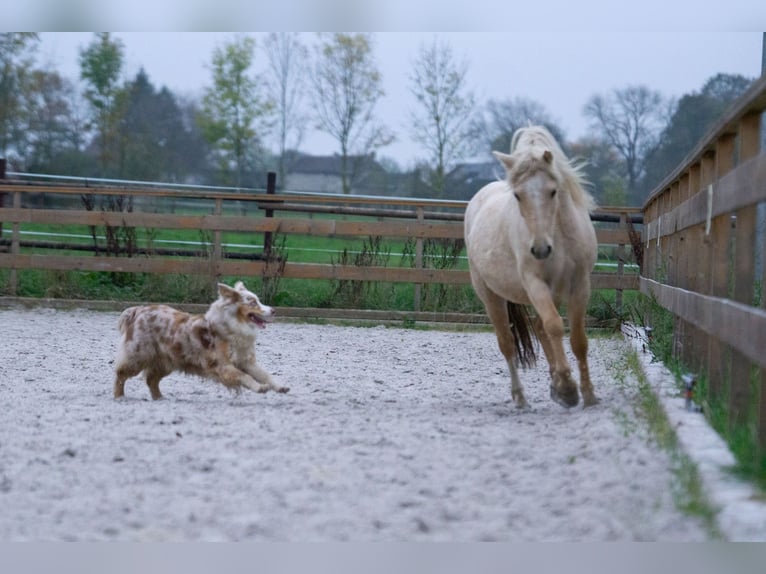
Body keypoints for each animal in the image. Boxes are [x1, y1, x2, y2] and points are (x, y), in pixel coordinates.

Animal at [110, 282, 284, 400]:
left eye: (258, 300)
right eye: (252, 302)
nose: (274, 310)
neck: (234, 327)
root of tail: (138, 310)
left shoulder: (247, 362)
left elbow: (266, 375)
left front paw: (280, 387)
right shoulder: (223, 366)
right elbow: (244, 376)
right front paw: (259, 387)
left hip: (166, 361)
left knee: (151, 380)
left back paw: (160, 398)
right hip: (138, 356)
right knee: (121, 374)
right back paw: (120, 397)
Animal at [464, 126, 604, 410]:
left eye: (553, 191)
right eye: (518, 195)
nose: (540, 249)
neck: (557, 234)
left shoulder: (580, 284)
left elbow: (578, 340)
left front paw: (587, 394)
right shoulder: (535, 284)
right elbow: (554, 327)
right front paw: (568, 388)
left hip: (554, 292)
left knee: (539, 327)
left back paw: (554, 384)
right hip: (491, 296)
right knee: (508, 343)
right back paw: (521, 398)